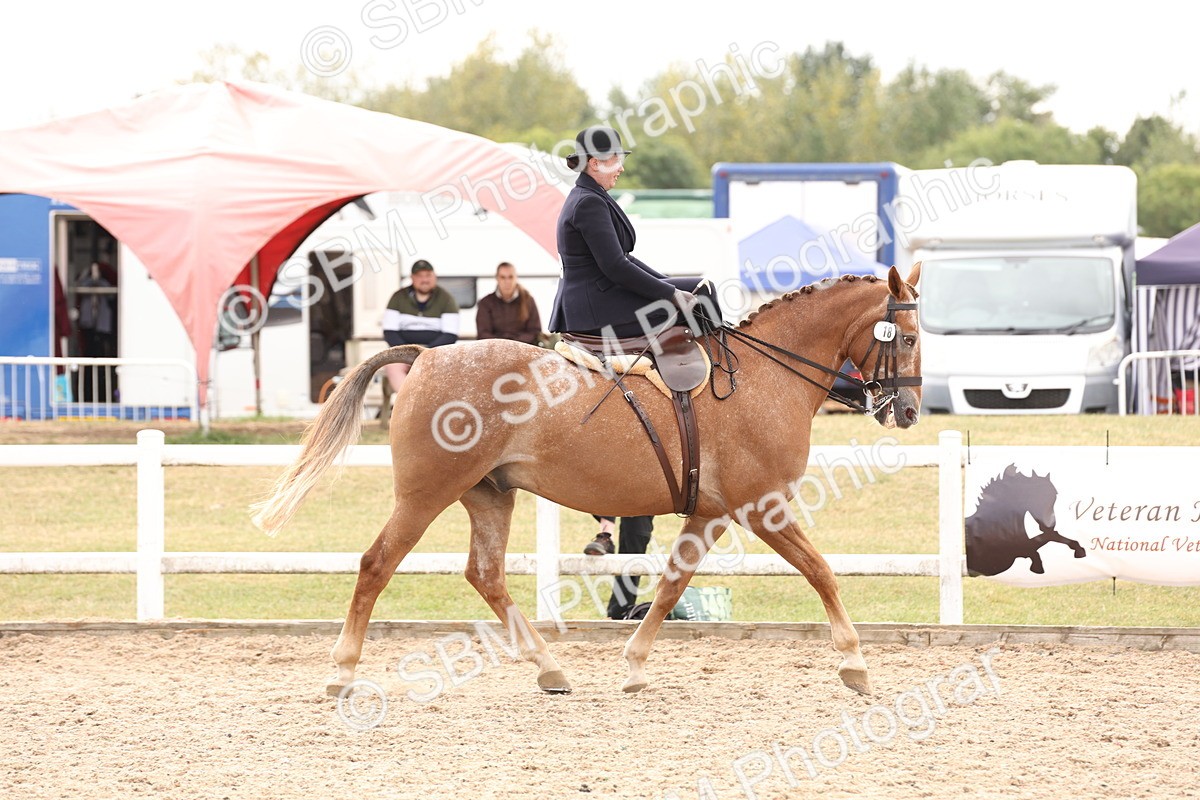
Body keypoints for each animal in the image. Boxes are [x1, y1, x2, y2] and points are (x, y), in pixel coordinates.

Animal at [251, 264, 923, 698]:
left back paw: (549, 669)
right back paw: (341, 673)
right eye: (909, 337)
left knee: (485, 574)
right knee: (376, 564)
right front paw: (856, 665)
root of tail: (427, 356)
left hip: (489, 494)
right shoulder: (764, 506)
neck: (763, 376)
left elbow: (671, 585)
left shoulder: (710, 512)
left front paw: (634, 666)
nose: (910, 412)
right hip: (425, 494)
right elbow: (821, 571)